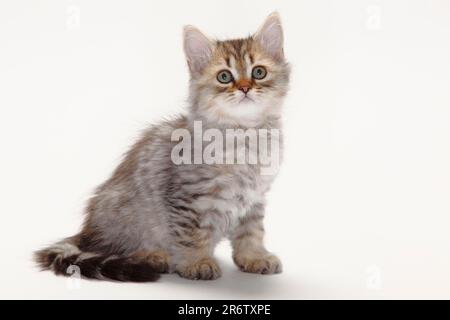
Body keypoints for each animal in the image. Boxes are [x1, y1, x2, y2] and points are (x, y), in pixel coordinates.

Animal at [37, 12, 294, 282]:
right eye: (224, 77)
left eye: (259, 72)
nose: (245, 87)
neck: (244, 134)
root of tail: (87, 231)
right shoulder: (189, 197)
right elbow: (192, 236)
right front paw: (197, 262)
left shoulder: (254, 199)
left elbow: (251, 232)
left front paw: (255, 257)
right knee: (119, 248)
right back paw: (155, 256)